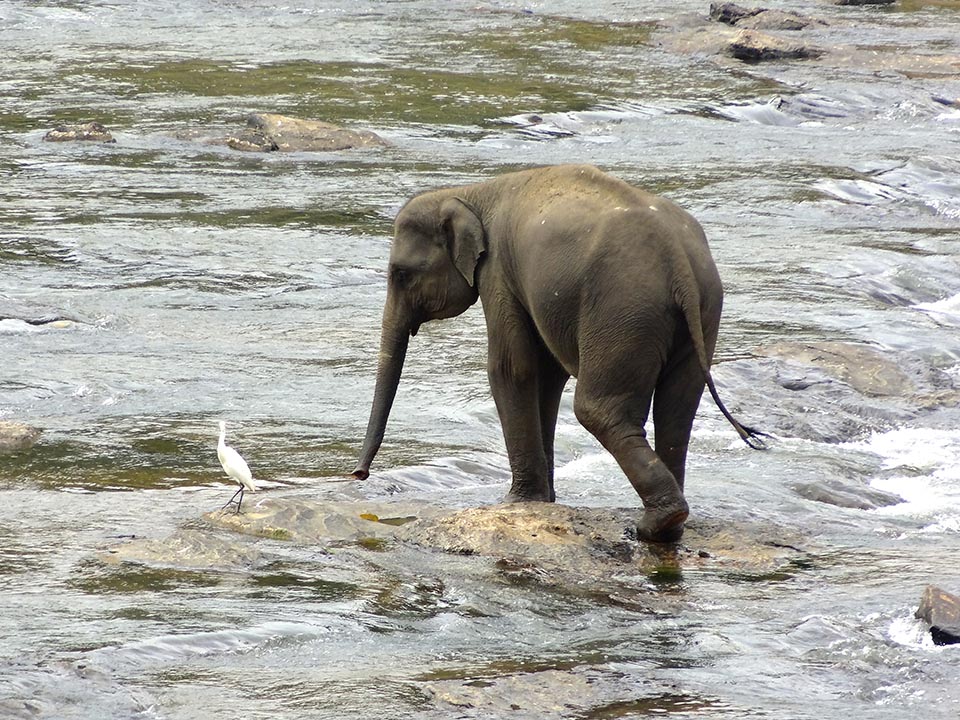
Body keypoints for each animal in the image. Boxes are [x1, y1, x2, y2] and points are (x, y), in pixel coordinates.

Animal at [352, 164, 763, 543]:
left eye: (400, 274)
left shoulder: (497, 271)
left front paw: (517, 502)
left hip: (622, 311)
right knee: (676, 414)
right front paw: (544, 500)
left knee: (597, 410)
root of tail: (677, 259)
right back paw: (669, 527)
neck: (472, 191)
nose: (359, 475)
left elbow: (511, 367)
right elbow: (547, 375)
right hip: (701, 313)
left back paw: (655, 524)